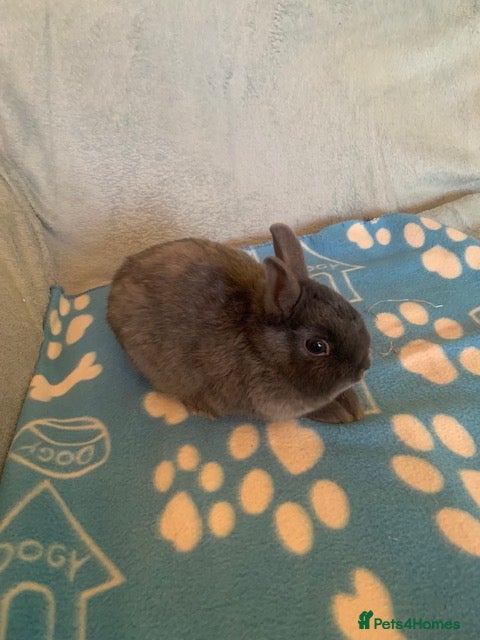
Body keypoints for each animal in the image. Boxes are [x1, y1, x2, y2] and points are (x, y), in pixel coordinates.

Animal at [107, 223, 371, 424]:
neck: (262, 348)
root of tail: (116, 285)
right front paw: (341, 413)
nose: (363, 369)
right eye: (316, 346)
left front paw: (354, 405)